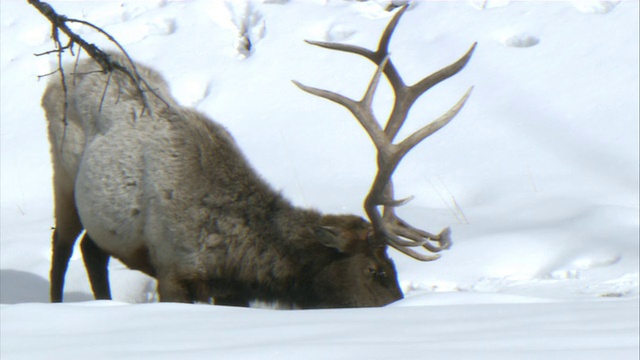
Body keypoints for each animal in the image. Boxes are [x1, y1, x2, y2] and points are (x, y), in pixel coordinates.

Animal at [43, 6, 476, 306]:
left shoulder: (230, 291)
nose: (398, 307)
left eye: (394, 268)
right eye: (376, 270)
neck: (231, 253)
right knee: (62, 247)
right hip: (62, 174)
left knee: (91, 250)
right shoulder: (173, 271)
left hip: (103, 218)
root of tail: (67, 71)